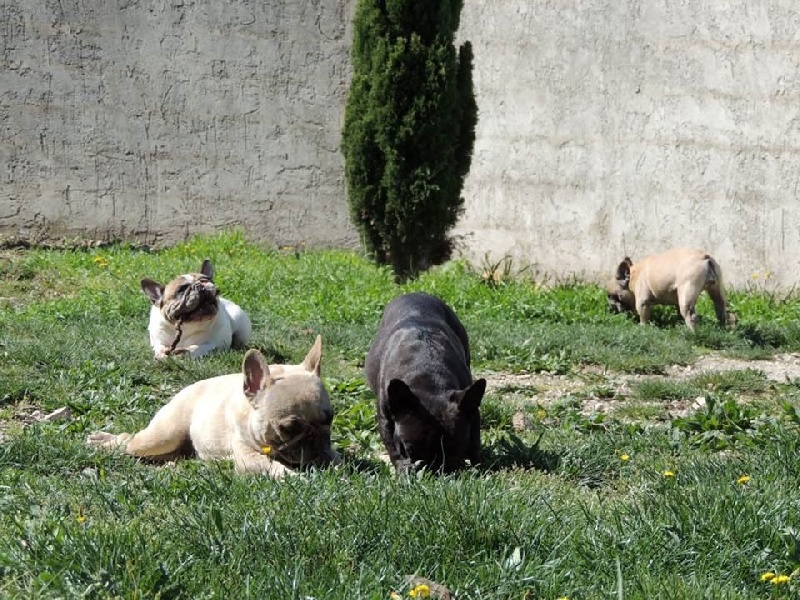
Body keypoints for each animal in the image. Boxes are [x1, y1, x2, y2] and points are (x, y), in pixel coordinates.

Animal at [87, 336, 340, 477]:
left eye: (329, 420)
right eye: (288, 428)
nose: (315, 440)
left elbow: (336, 457)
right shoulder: (248, 458)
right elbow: (274, 468)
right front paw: (296, 478)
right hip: (159, 438)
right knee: (128, 440)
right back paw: (102, 441)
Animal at [365, 292, 485, 474]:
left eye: (456, 449)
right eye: (409, 450)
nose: (436, 469)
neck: (428, 382)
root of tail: (415, 293)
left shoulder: (471, 408)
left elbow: (475, 441)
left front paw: (479, 465)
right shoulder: (385, 416)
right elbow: (392, 446)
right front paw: (403, 468)